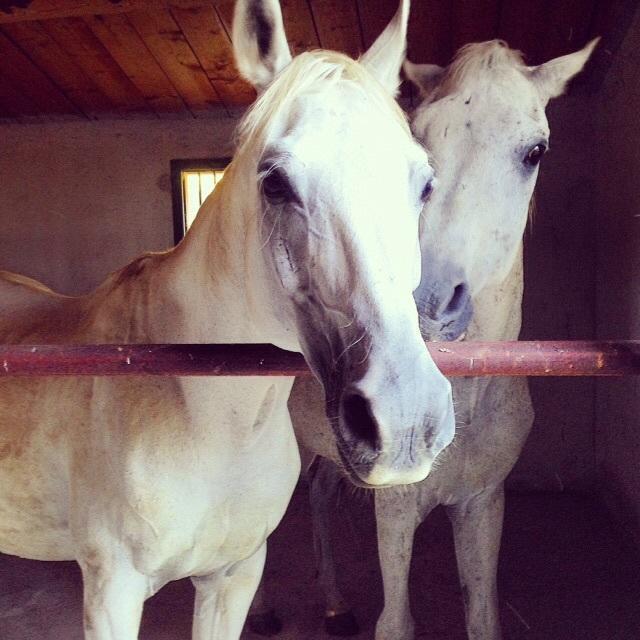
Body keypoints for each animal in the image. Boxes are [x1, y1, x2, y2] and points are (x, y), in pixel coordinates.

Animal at [0, 2, 460, 636]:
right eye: (275, 182)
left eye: (424, 184)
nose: (405, 421)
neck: (208, 414)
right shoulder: (111, 591)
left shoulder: (234, 576)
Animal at [254, 36, 596, 640]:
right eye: (421, 136)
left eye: (535, 151)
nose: (429, 301)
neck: (467, 394)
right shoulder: (394, 511)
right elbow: (396, 621)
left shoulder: (482, 505)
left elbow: (482, 616)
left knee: (316, 493)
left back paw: (335, 606)